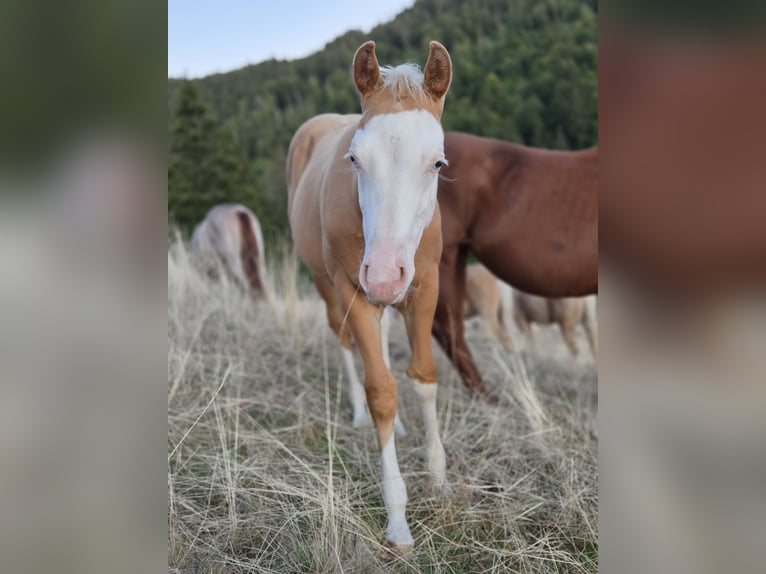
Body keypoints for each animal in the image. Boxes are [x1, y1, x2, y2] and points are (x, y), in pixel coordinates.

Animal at [286, 41, 452, 553]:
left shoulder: (424, 288)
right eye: (355, 159)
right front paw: (397, 517)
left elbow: (424, 378)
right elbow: (381, 389)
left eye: (438, 163)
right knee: (346, 343)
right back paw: (360, 414)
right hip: (328, 286)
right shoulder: (352, 289)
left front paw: (439, 478)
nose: (382, 274)